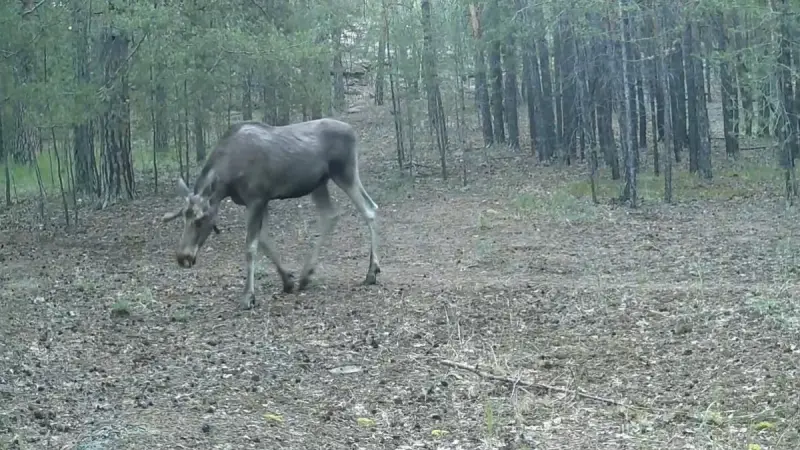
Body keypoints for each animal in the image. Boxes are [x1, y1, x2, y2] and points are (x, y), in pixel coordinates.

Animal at [161, 118, 381, 309]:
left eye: (200, 220)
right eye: (184, 217)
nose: (182, 257)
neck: (227, 182)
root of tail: (353, 131)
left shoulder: (257, 199)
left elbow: (251, 247)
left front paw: (248, 296)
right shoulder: (258, 202)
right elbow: (265, 242)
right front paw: (287, 281)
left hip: (345, 172)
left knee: (370, 209)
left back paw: (372, 272)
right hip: (319, 183)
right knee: (331, 215)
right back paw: (306, 275)